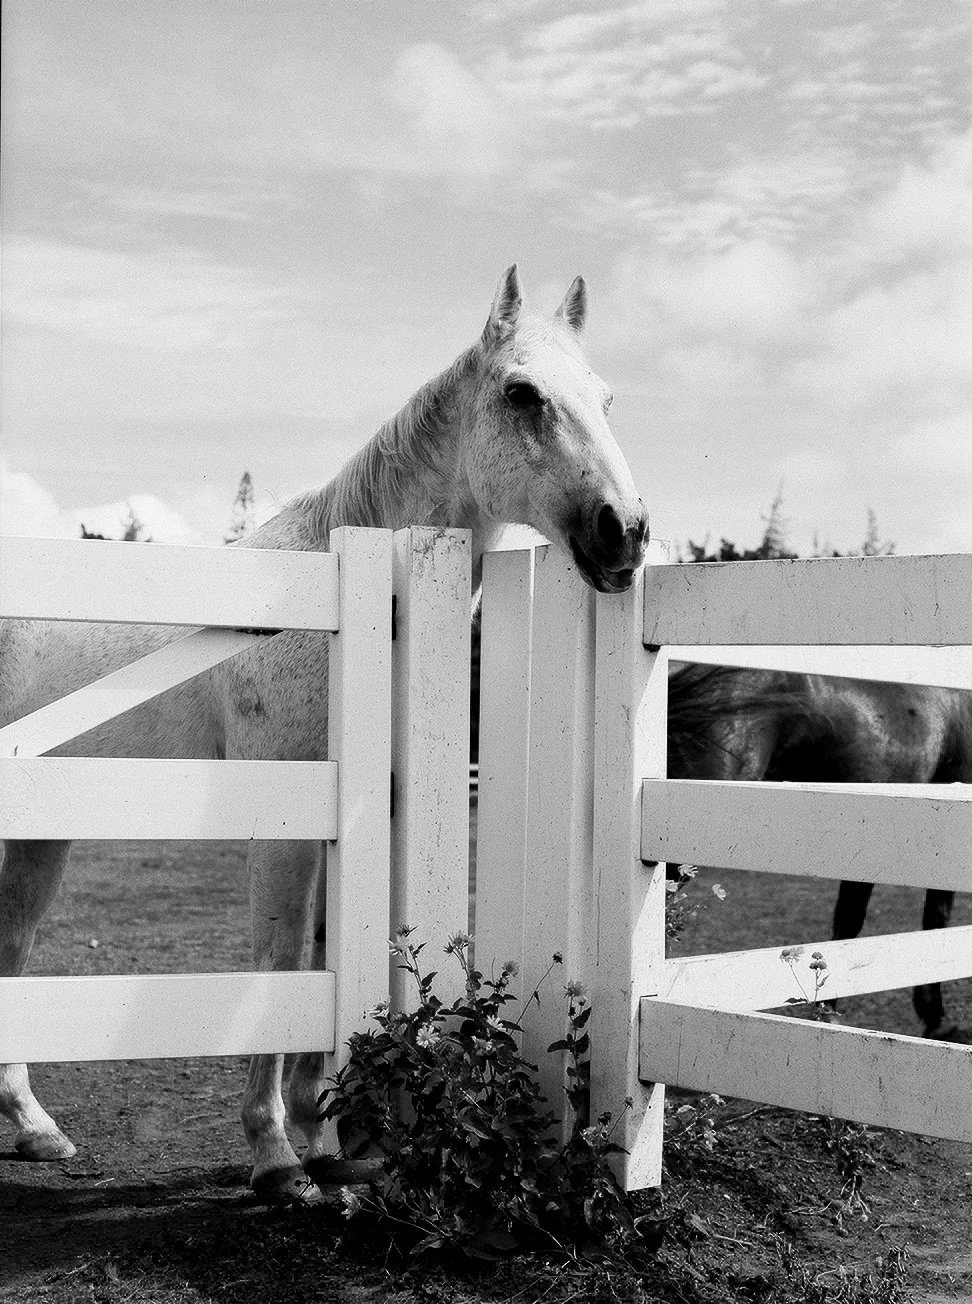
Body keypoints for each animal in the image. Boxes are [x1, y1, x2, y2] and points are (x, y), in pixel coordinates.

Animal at [0, 266, 650, 1201]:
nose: (623, 530)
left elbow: (328, 949)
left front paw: (327, 1136)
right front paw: (275, 1155)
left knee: (13, 944)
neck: (344, 603)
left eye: (606, 397)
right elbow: (280, 961)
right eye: (521, 393)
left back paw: (35, 1127)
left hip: (41, 833)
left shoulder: (361, 816)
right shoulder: (284, 827)